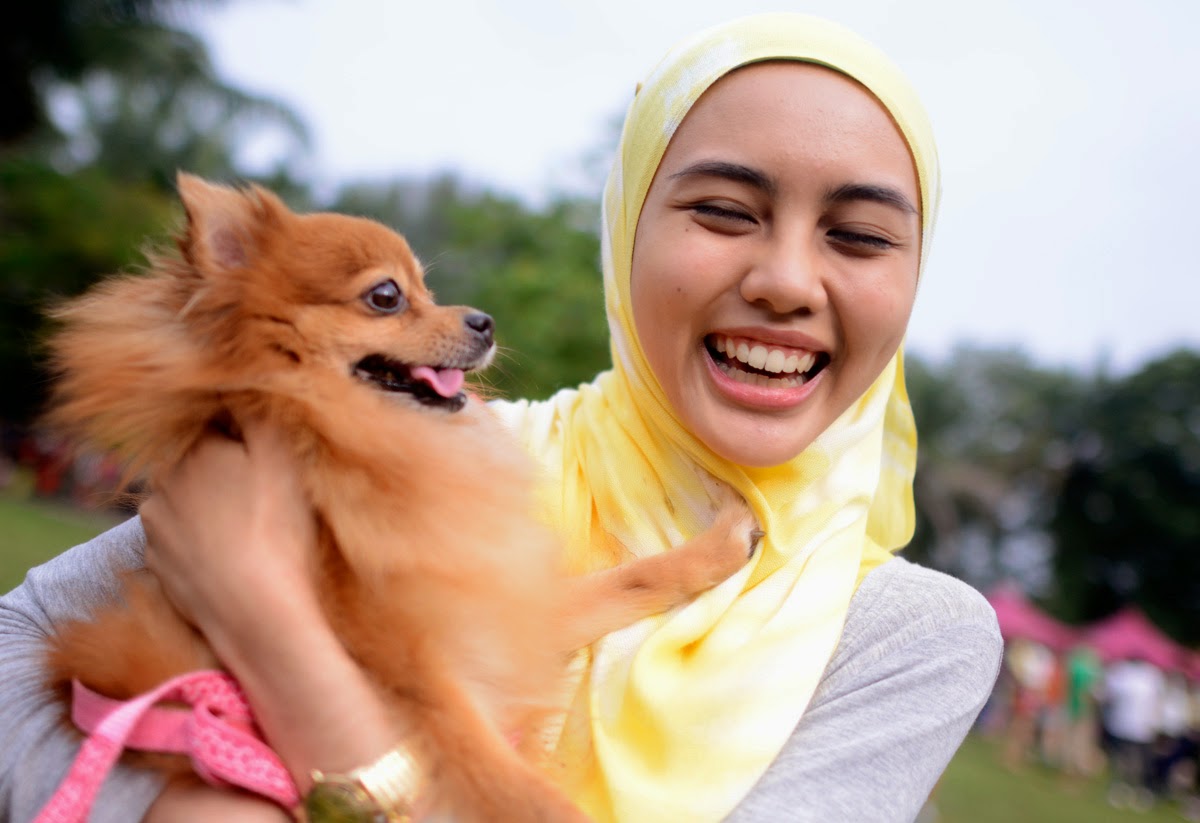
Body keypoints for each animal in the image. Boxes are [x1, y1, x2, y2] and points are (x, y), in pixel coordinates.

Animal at [46, 175, 758, 823]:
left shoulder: (502, 613)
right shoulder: (426, 681)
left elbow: (630, 581)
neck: (360, 448)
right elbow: (509, 783)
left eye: (428, 289)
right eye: (387, 296)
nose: (484, 320)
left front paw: (717, 547)